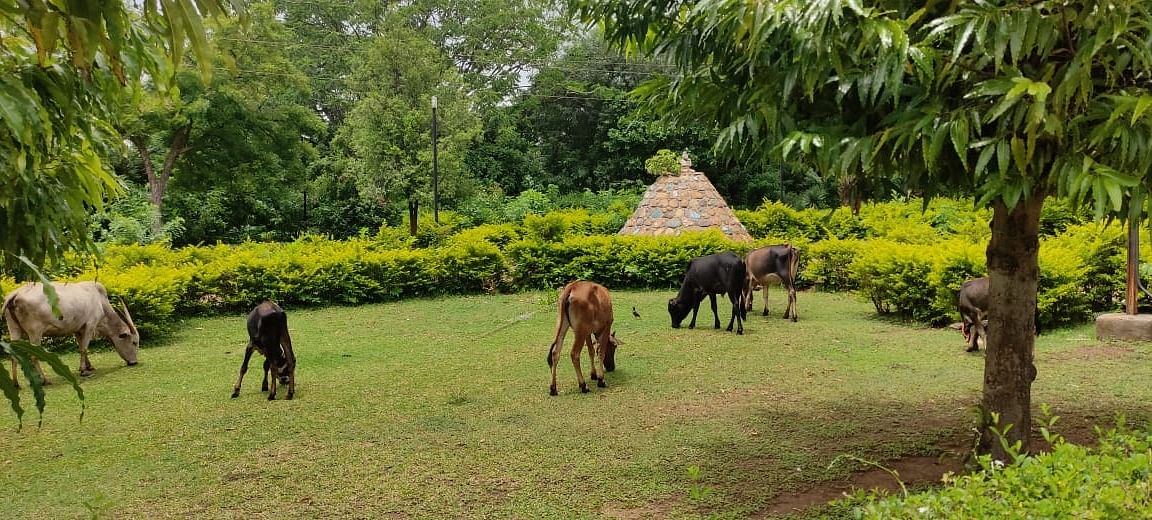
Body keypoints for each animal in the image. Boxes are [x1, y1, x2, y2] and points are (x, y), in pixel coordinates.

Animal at [3, 281, 138, 387]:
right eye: (134, 342)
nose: (134, 362)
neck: (100, 302)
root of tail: (17, 293)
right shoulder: (90, 325)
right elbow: (84, 348)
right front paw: (84, 371)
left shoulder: (78, 329)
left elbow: (82, 347)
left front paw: (88, 366)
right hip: (35, 332)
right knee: (33, 356)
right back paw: (45, 380)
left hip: (14, 329)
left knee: (13, 355)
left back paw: (16, 383)